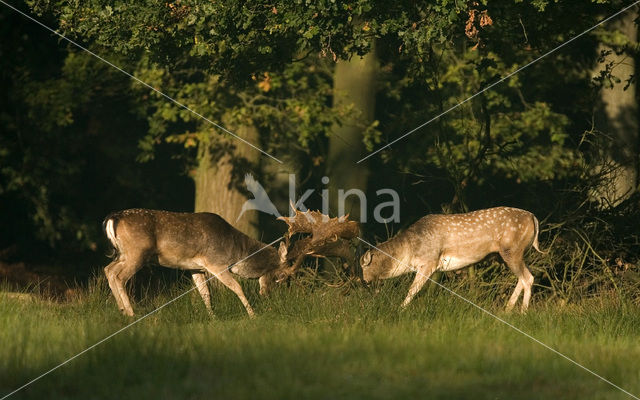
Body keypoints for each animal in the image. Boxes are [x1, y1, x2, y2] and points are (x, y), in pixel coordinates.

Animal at [102, 211, 284, 318]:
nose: (271, 296)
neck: (236, 251)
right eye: (281, 275)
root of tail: (113, 218)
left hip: (124, 254)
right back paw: (130, 313)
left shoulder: (196, 268)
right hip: (137, 252)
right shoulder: (216, 263)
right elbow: (236, 287)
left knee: (108, 269)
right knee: (119, 276)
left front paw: (212, 318)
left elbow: (205, 293)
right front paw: (253, 315)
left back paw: (122, 310)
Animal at [360, 208, 540, 310]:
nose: (364, 282)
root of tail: (534, 218)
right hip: (509, 254)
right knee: (524, 277)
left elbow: (413, 289)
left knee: (528, 278)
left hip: (512, 250)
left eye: (364, 267)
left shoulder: (430, 261)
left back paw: (522, 313)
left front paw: (400, 309)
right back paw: (507, 311)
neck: (410, 252)